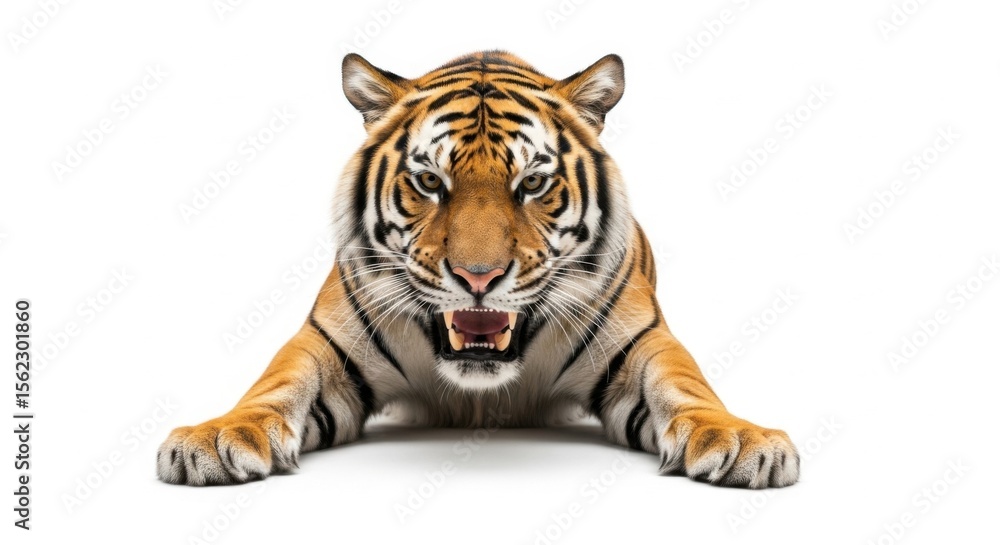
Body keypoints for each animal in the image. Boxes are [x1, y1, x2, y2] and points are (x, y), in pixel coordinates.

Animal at [157, 51, 800, 489]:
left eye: (533, 184)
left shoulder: (642, 340)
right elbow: (274, 384)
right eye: (429, 181)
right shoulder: (325, 343)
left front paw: (741, 440)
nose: (479, 278)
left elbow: (687, 385)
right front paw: (216, 437)